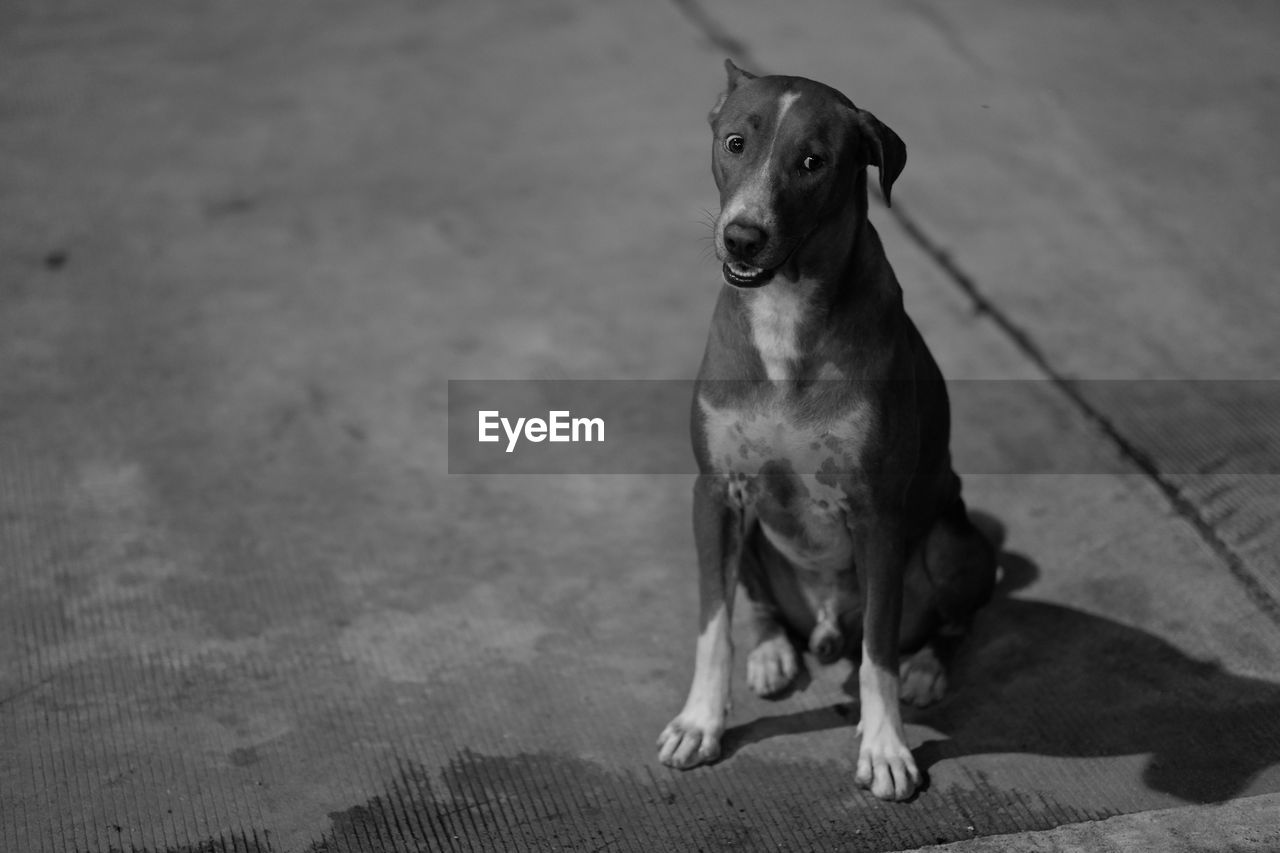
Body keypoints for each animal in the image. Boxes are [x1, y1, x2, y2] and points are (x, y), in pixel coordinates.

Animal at [655, 59, 993, 799]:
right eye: (735, 144)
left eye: (813, 162)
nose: (743, 237)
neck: (784, 308)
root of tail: (825, 621)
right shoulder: (716, 491)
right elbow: (713, 623)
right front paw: (701, 721)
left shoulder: (879, 513)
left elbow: (878, 653)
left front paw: (886, 746)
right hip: (751, 530)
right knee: (756, 602)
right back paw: (774, 651)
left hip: (954, 539)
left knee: (947, 620)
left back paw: (927, 667)